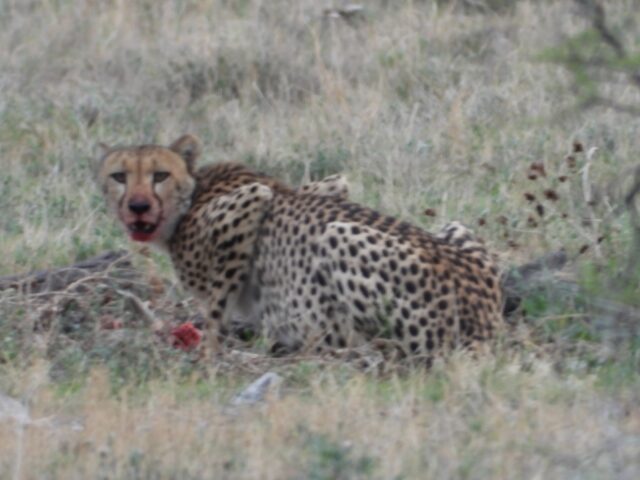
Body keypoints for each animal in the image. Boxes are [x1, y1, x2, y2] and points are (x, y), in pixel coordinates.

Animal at [97, 134, 502, 360]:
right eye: (119, 176)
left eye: (159, 175)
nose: (138, 206)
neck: (194, 191)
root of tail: (485, 324)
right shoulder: (330, 184)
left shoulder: (249, 202)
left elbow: (216, 306)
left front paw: (209, 349)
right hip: (457, 229)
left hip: (338, 235)